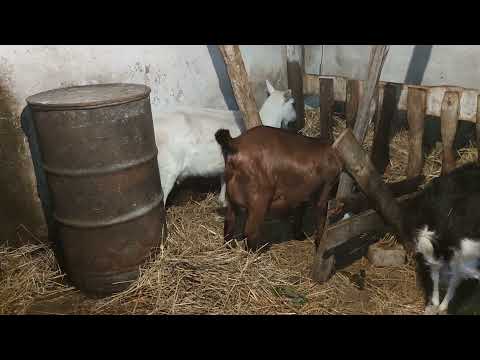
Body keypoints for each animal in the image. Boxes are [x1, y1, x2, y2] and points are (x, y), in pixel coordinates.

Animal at [216, 126, 344, 250]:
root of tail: (235, 144)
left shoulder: (302, 193)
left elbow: (300, 211)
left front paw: (299, 235)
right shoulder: (325, 189)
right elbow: (321, 219)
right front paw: (319, 245)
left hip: (231, 196)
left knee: (229, 221)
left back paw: (229, 247)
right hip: (259, 199)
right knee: (250, 231)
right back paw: (254, 253)